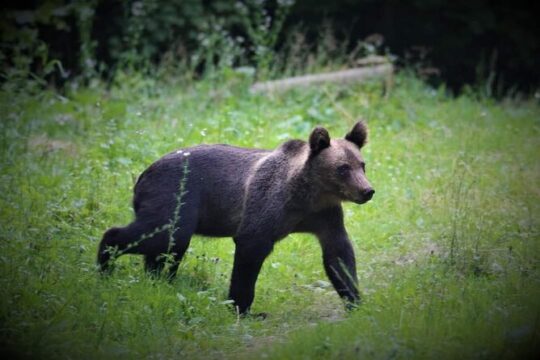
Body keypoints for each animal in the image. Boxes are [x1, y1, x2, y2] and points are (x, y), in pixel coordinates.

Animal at [97, 121, 374, 316]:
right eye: (343, 168)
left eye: (362, 164)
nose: (367, 191)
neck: (309, 193)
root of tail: (144, 172)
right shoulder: (267, 206)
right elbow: (250, 251)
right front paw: (242, 308)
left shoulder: (324, 216)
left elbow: (338, 254)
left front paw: (355, 301)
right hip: (175, 195)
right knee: (160, 234)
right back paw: (105, 263)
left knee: (168, 247)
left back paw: (156, 280)